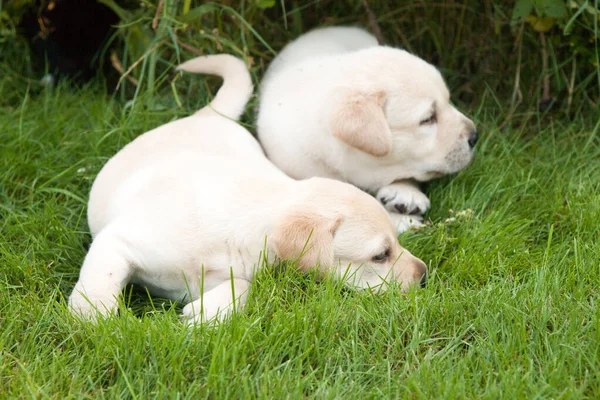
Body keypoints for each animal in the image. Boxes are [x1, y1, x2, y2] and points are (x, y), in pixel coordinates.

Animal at [69, 53, 426, 324]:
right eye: (380, 256)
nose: (423, 276)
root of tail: (207, 115)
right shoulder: (117, 242)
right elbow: (99, 287)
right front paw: (90, 322)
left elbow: (241, 286)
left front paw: (207, 314)